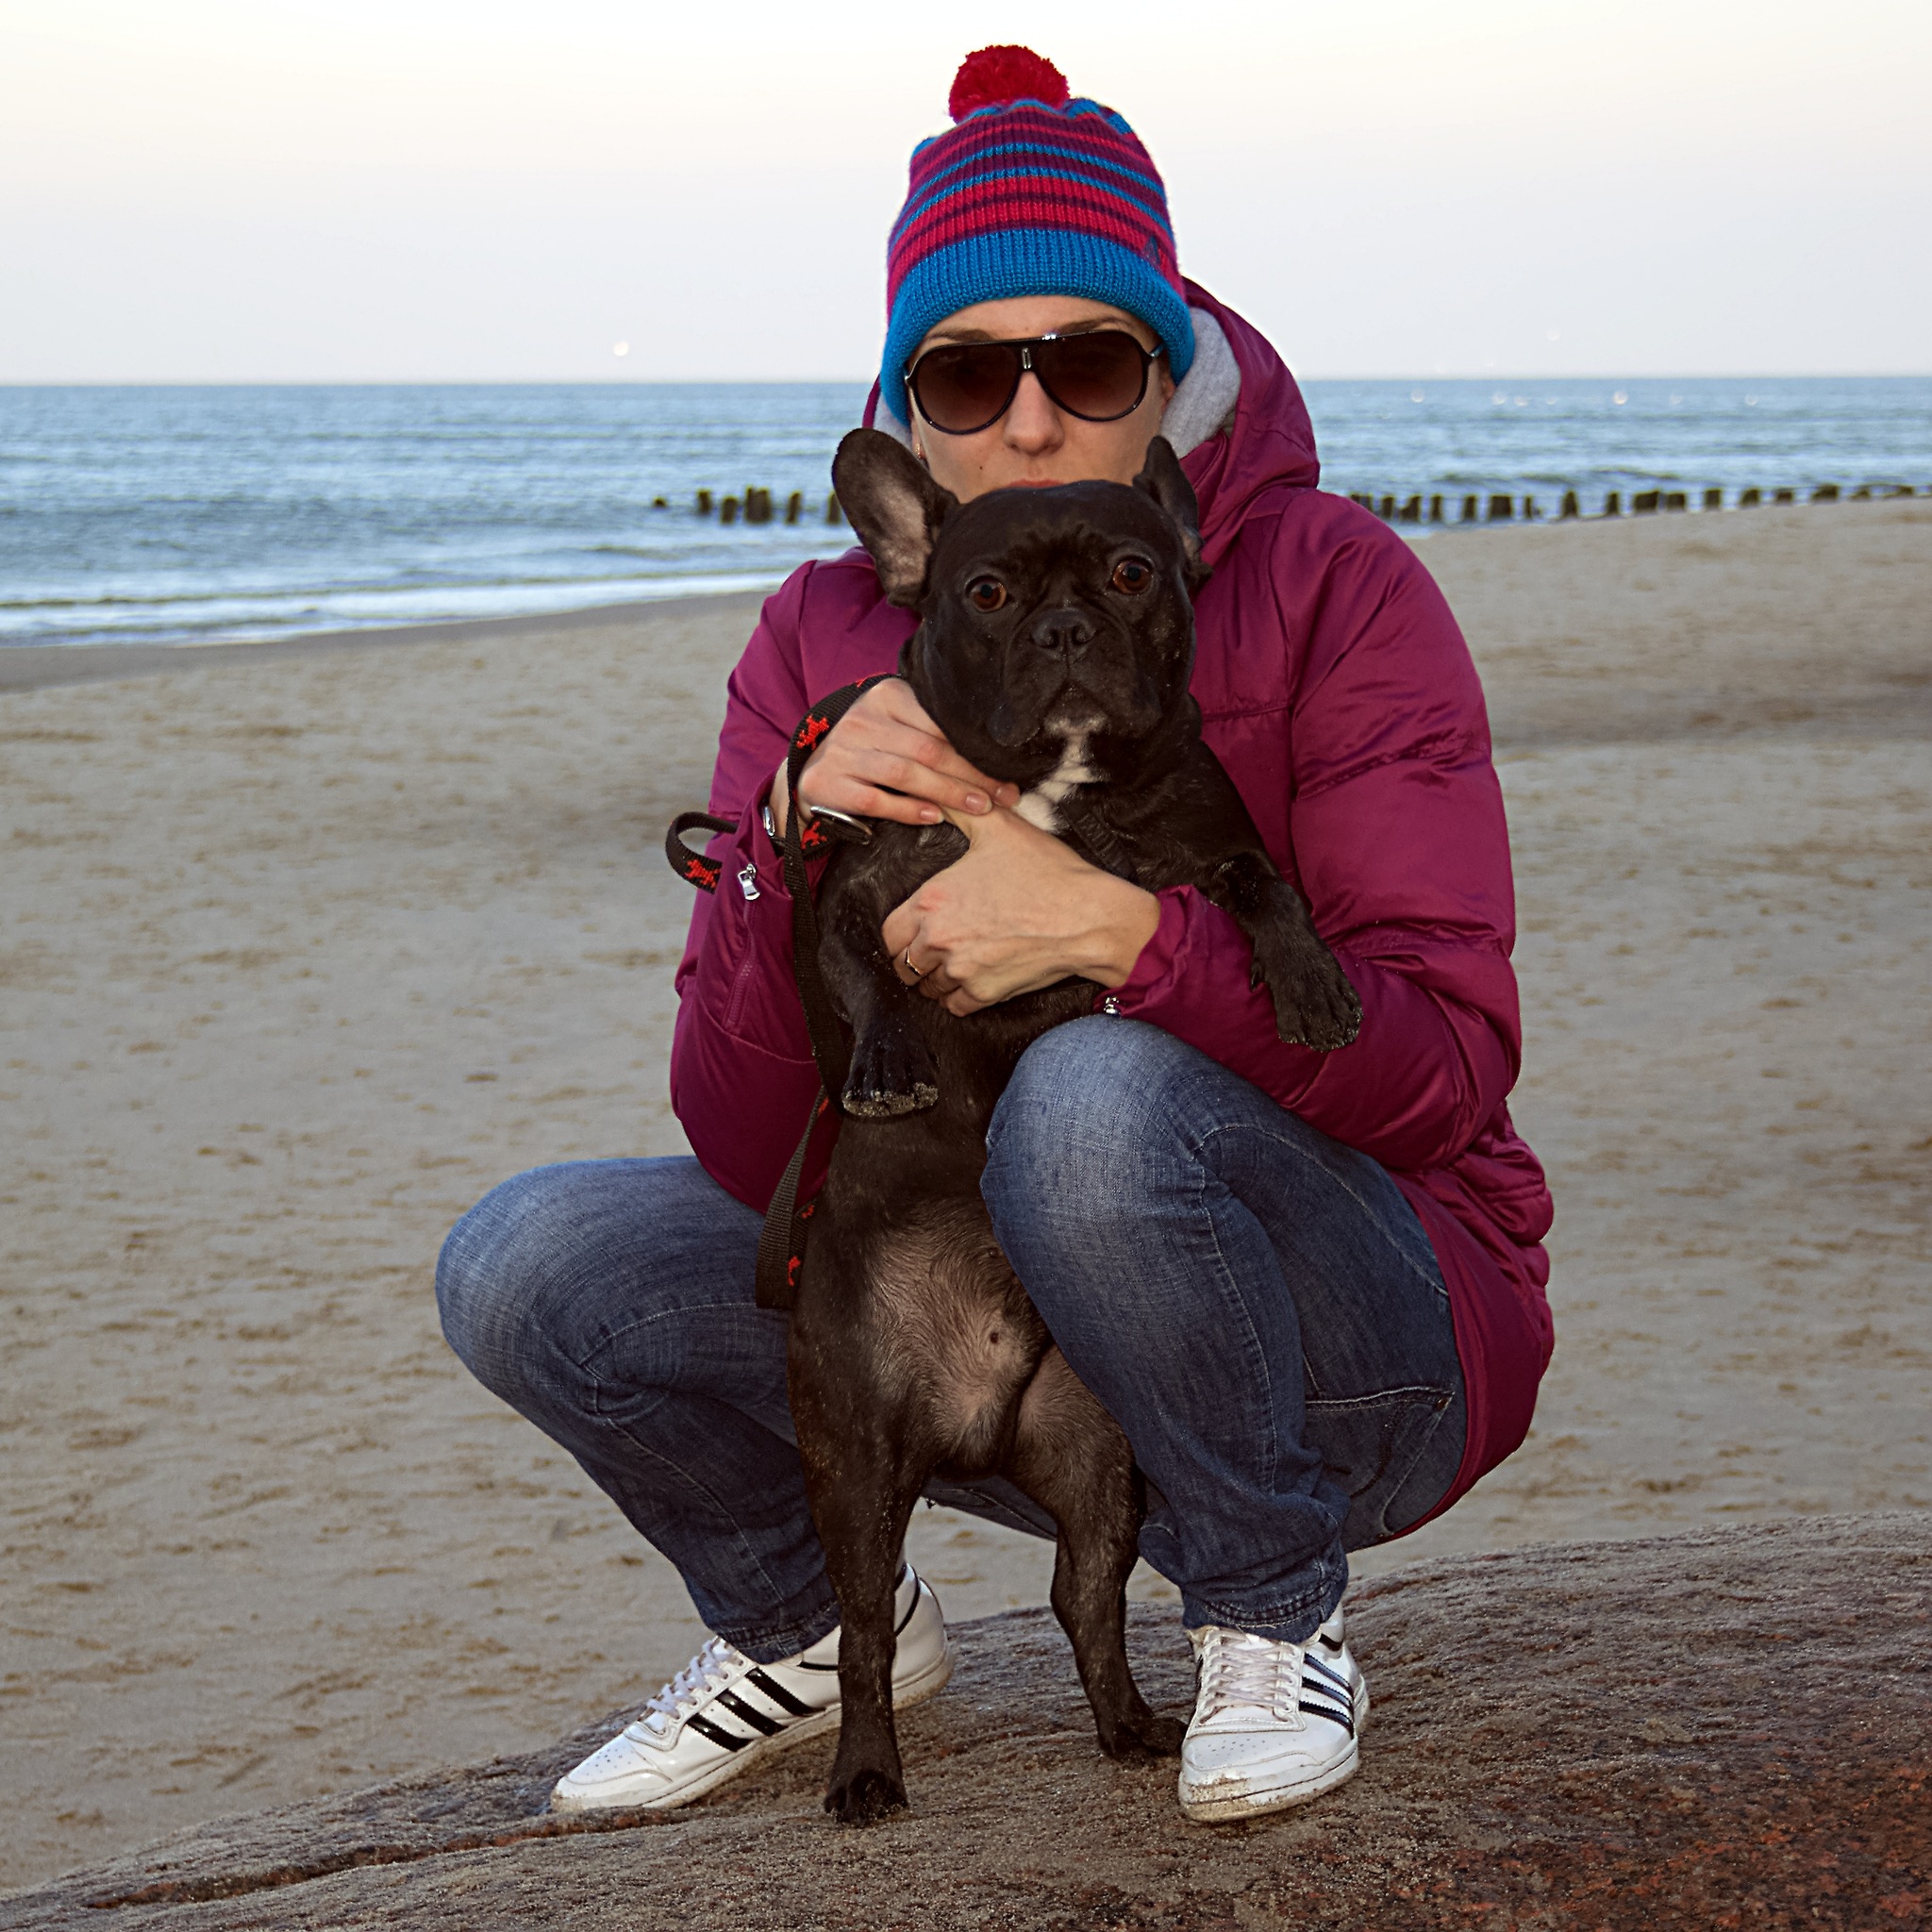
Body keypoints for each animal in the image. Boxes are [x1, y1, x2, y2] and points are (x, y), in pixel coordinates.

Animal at [787, 427, 1361, 1824]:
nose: (1063, 626)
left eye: (1130, 573)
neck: (1049, 784)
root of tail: (970, 1420)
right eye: (987, 593)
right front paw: (887, 1059)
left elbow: (1261, 880)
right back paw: (866, 1774)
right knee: (867, 1633)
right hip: (852, 1458)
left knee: (1080, 1592)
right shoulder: (858, 887)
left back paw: (1132, 1727)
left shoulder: (1194, 847)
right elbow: (867, 974)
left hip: (1102, 1457)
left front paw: (1309, 984)